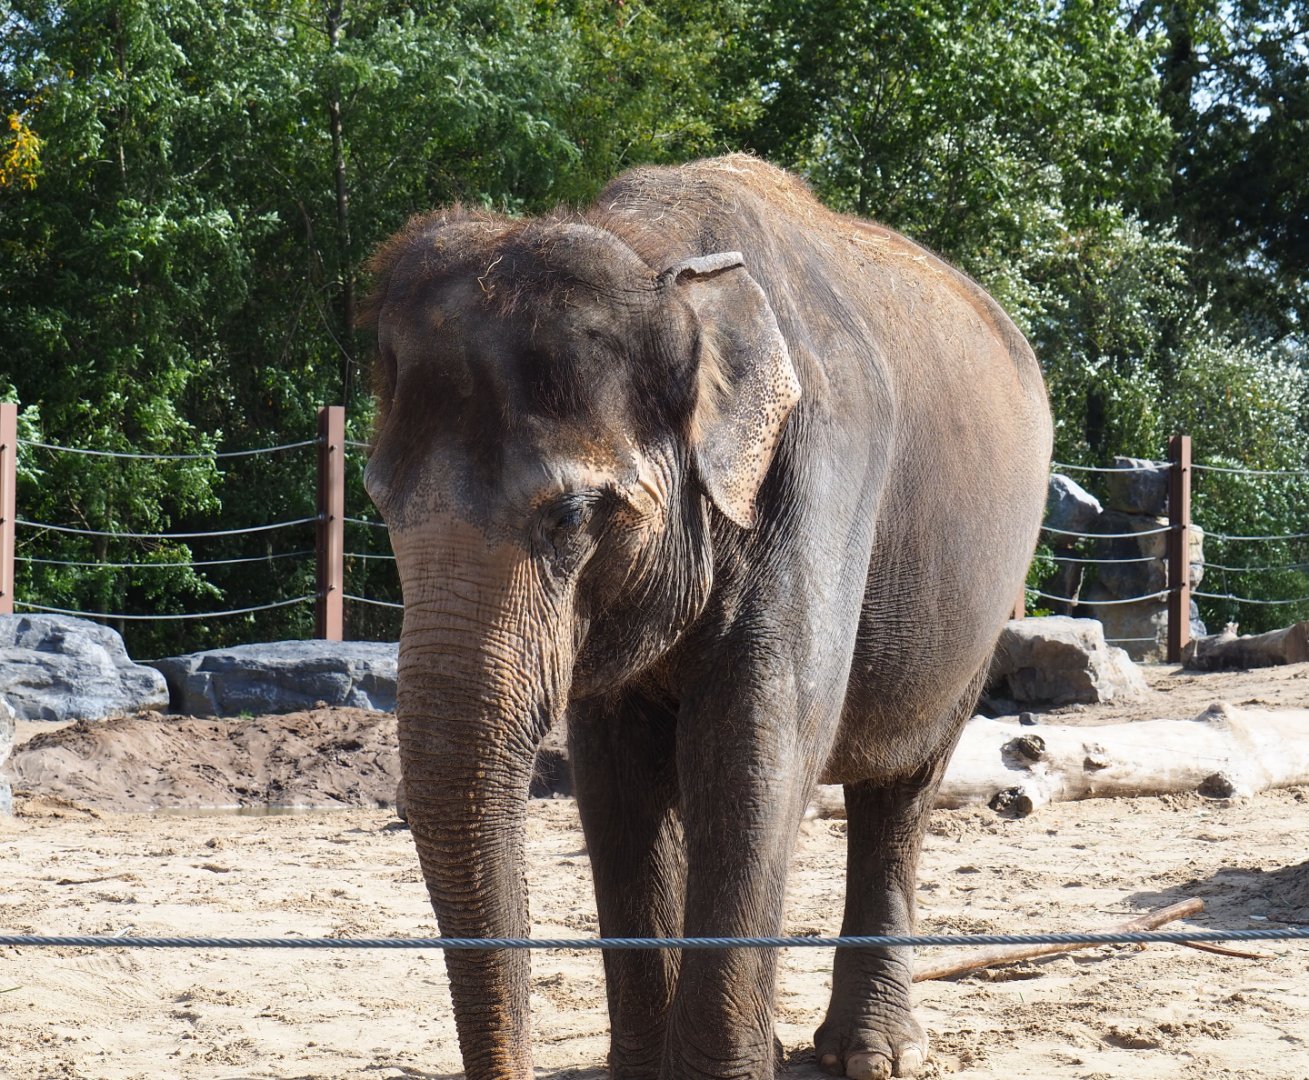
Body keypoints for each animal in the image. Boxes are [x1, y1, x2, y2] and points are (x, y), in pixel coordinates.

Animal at [363, 154, 1052, 1080]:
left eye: (571, 517)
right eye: (380, 505)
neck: (661, 258)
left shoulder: (822, 474)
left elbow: (751, 743)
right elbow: (614, 774)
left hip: (981, 607)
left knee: (901, 789)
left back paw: (869, 1056)